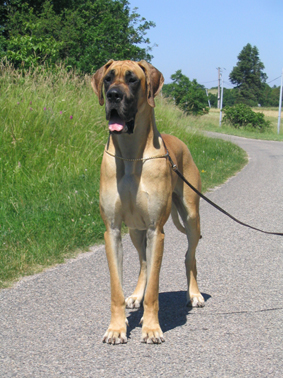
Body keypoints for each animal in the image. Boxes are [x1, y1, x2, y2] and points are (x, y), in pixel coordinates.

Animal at [92, 59, 205, 346]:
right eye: (108, 78)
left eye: (132, 79)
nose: (113, 96)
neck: (132, 155)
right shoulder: (113, 231)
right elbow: (116, 289)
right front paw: (117, 328)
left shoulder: (156, 231)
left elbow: (154, 288)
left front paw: (152, 328)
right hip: (135, 229)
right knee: (143, 262)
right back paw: (135, 296)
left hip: (191, 218)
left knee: (189, 256)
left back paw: (194, 294)